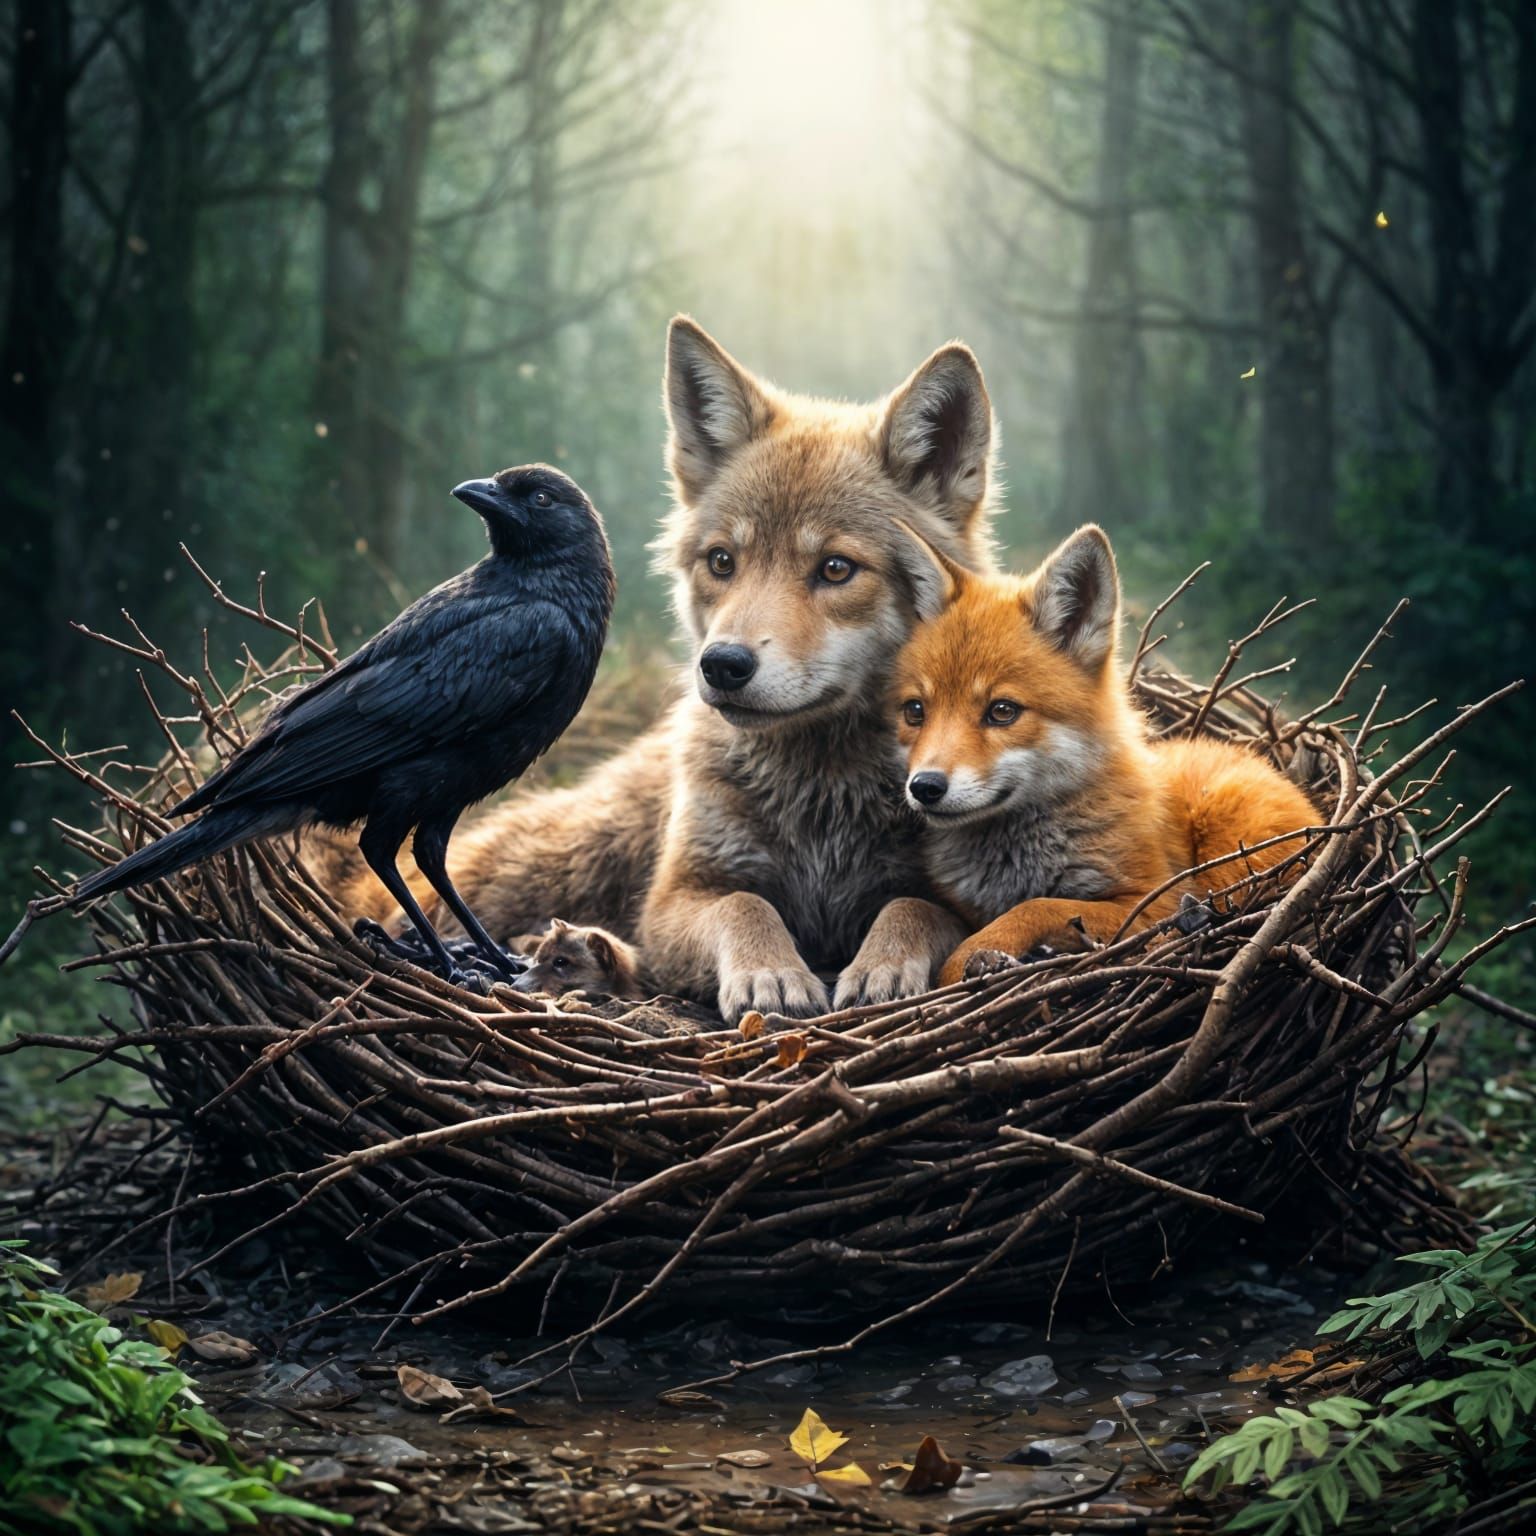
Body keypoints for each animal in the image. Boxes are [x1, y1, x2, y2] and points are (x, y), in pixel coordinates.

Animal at [318, 317, 992, 1019]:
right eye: (722, 561)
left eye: (836, 569)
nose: (722, 665)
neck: (822, 806)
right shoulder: (670, 905)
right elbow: (744, 906)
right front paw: (772, 973)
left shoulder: (964, 898)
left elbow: (911, 907)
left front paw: (881, 965)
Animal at [888, 523, 1317, 986]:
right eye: (915, 711)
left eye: (1002, 711)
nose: (925, 787)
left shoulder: (1153, 897)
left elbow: (1034, 908)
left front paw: (971, 962)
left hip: (1226, 861)